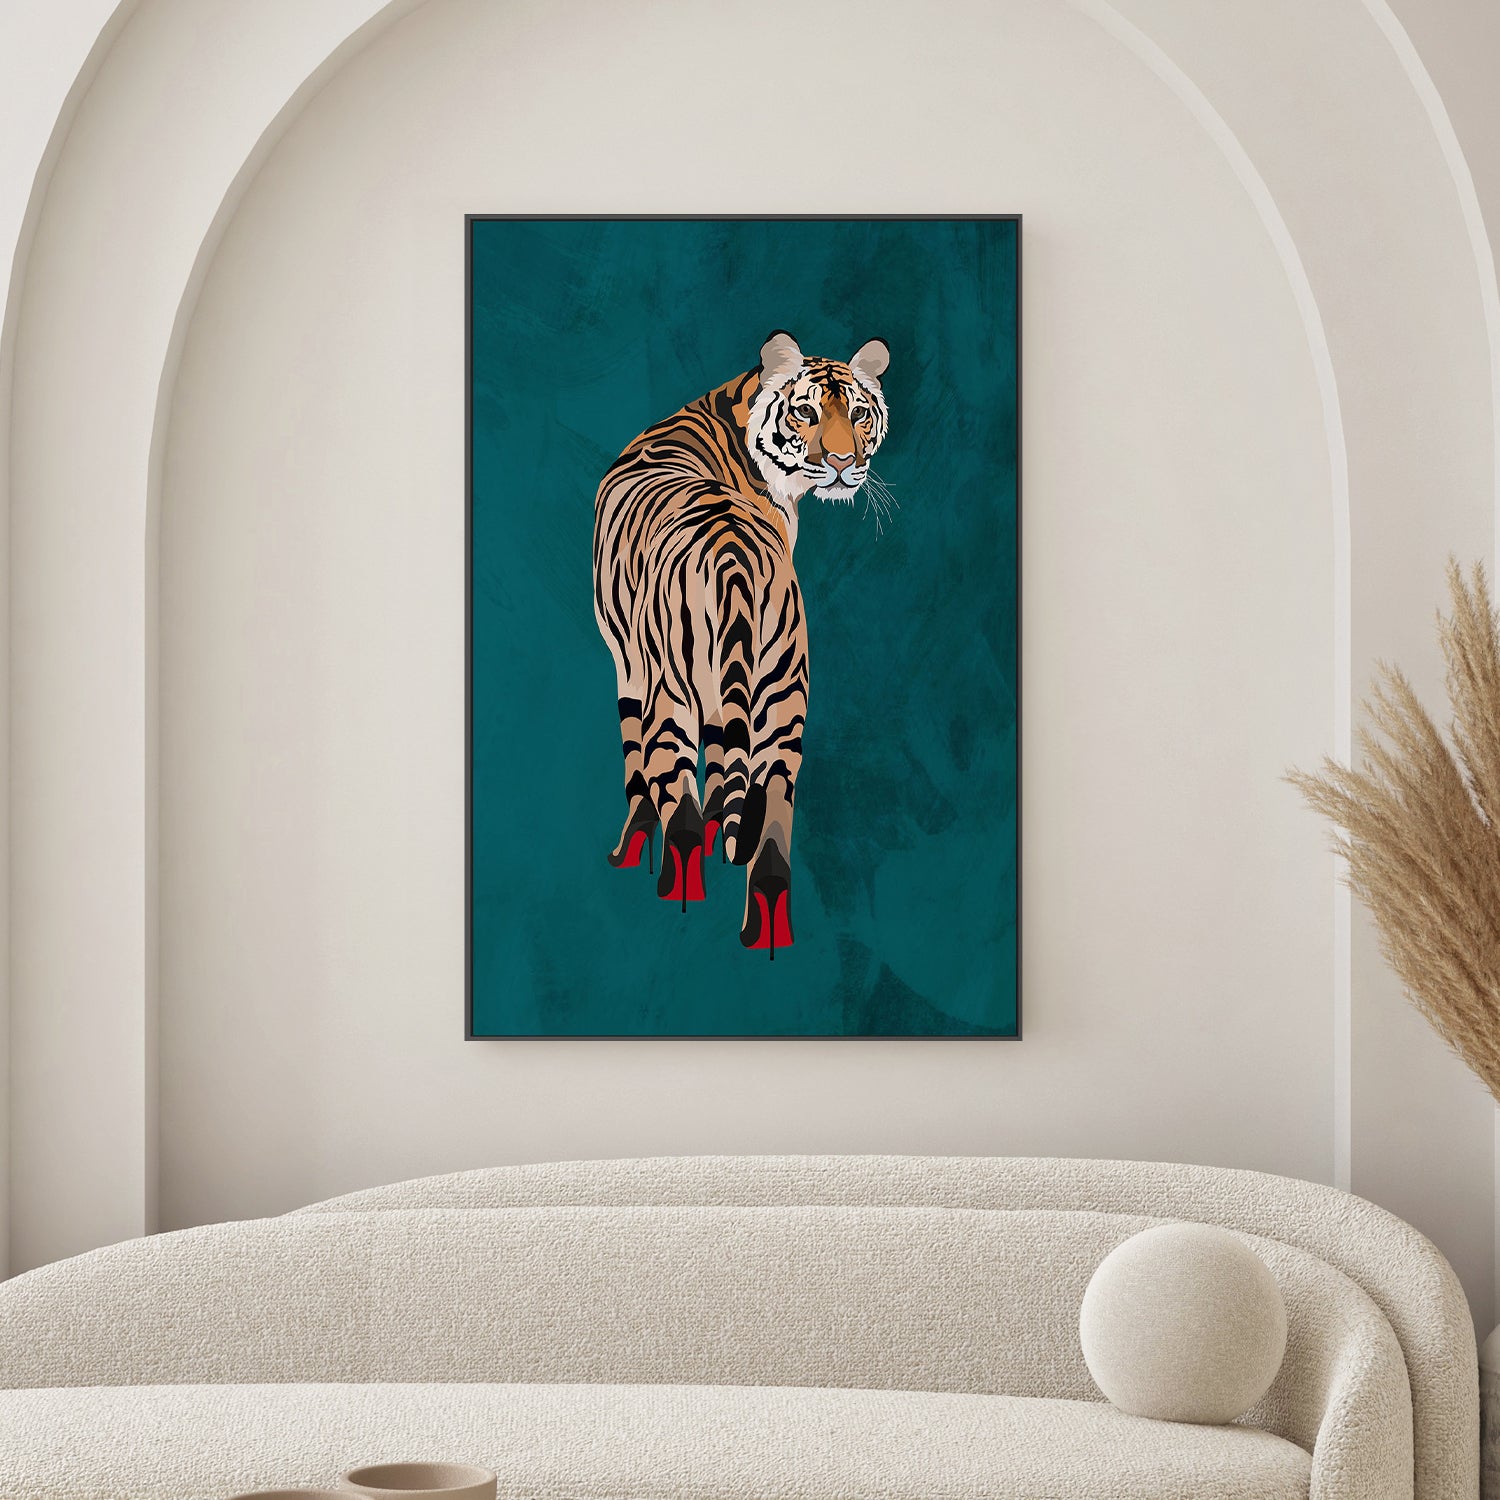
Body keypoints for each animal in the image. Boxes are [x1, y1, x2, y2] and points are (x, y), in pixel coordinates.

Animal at [592, 329, 891, 957]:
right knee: (773, 820)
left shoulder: (630, 668)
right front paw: (720, 827)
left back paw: (678, 901)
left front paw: (631, 849)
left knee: (679, 809)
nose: (843, 464)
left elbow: (640, 771)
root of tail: (730, 552)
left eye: (857, 414)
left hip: (673, 692)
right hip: (783, 697)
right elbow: (727, 761)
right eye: (806, 412)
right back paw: (765, 934)